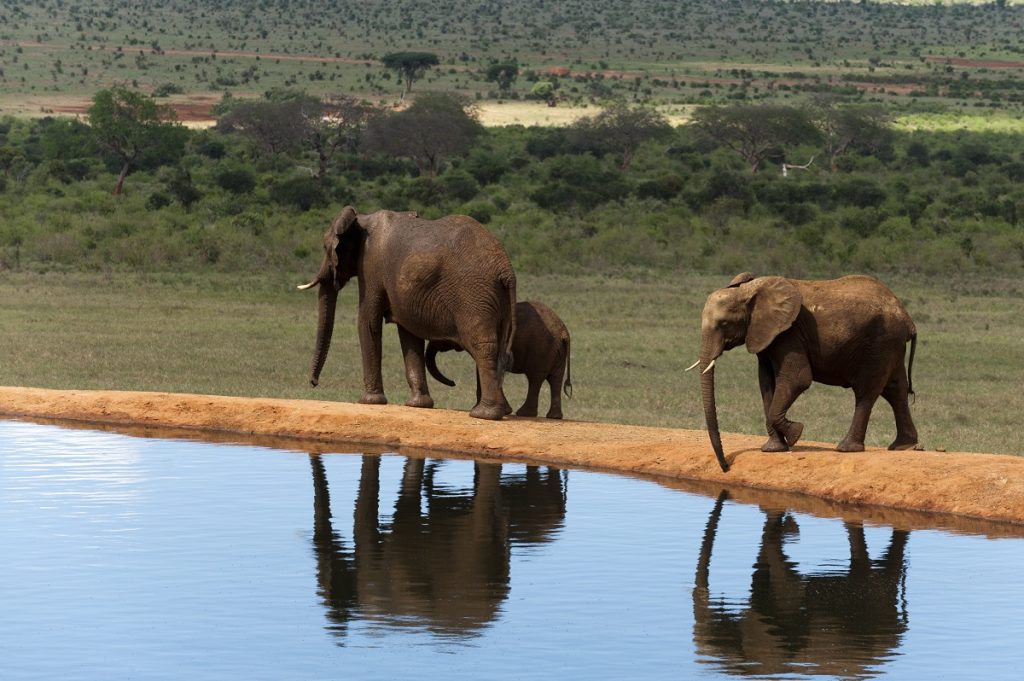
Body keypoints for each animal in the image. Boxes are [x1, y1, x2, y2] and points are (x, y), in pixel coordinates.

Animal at [299, 205, 520, 419]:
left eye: (325, 247)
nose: (313, 382)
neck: (362, 218)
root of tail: (506, 270)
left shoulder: (371, 265)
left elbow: (368, 321)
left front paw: (369, 401)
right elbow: (409, 333)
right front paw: (417, 405)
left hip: (472, 294)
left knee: (481, 345)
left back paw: (483, 414)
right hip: (495, 300)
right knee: (495, 349)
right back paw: (502, 411)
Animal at [419, 301, 573, 417]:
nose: (453, 383)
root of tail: (564, 333)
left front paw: (499, 411)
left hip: (541, 349)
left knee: (535, 379)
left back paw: (524, 414)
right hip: (557, 352)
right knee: (555, 380)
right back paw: (553, 416)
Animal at [688, 274, 921, 471]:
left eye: (724, 323)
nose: (726, 466)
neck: (747, 290)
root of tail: (907, 318)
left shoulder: (789, 333)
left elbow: (797, 379)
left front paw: (796, 433)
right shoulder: (766, 336)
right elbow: (766, 384)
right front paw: (773, 449)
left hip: (880, 343)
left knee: (867, 392)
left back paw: (846, 448)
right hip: (891, 345)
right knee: (896, 390)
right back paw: (903, 446)